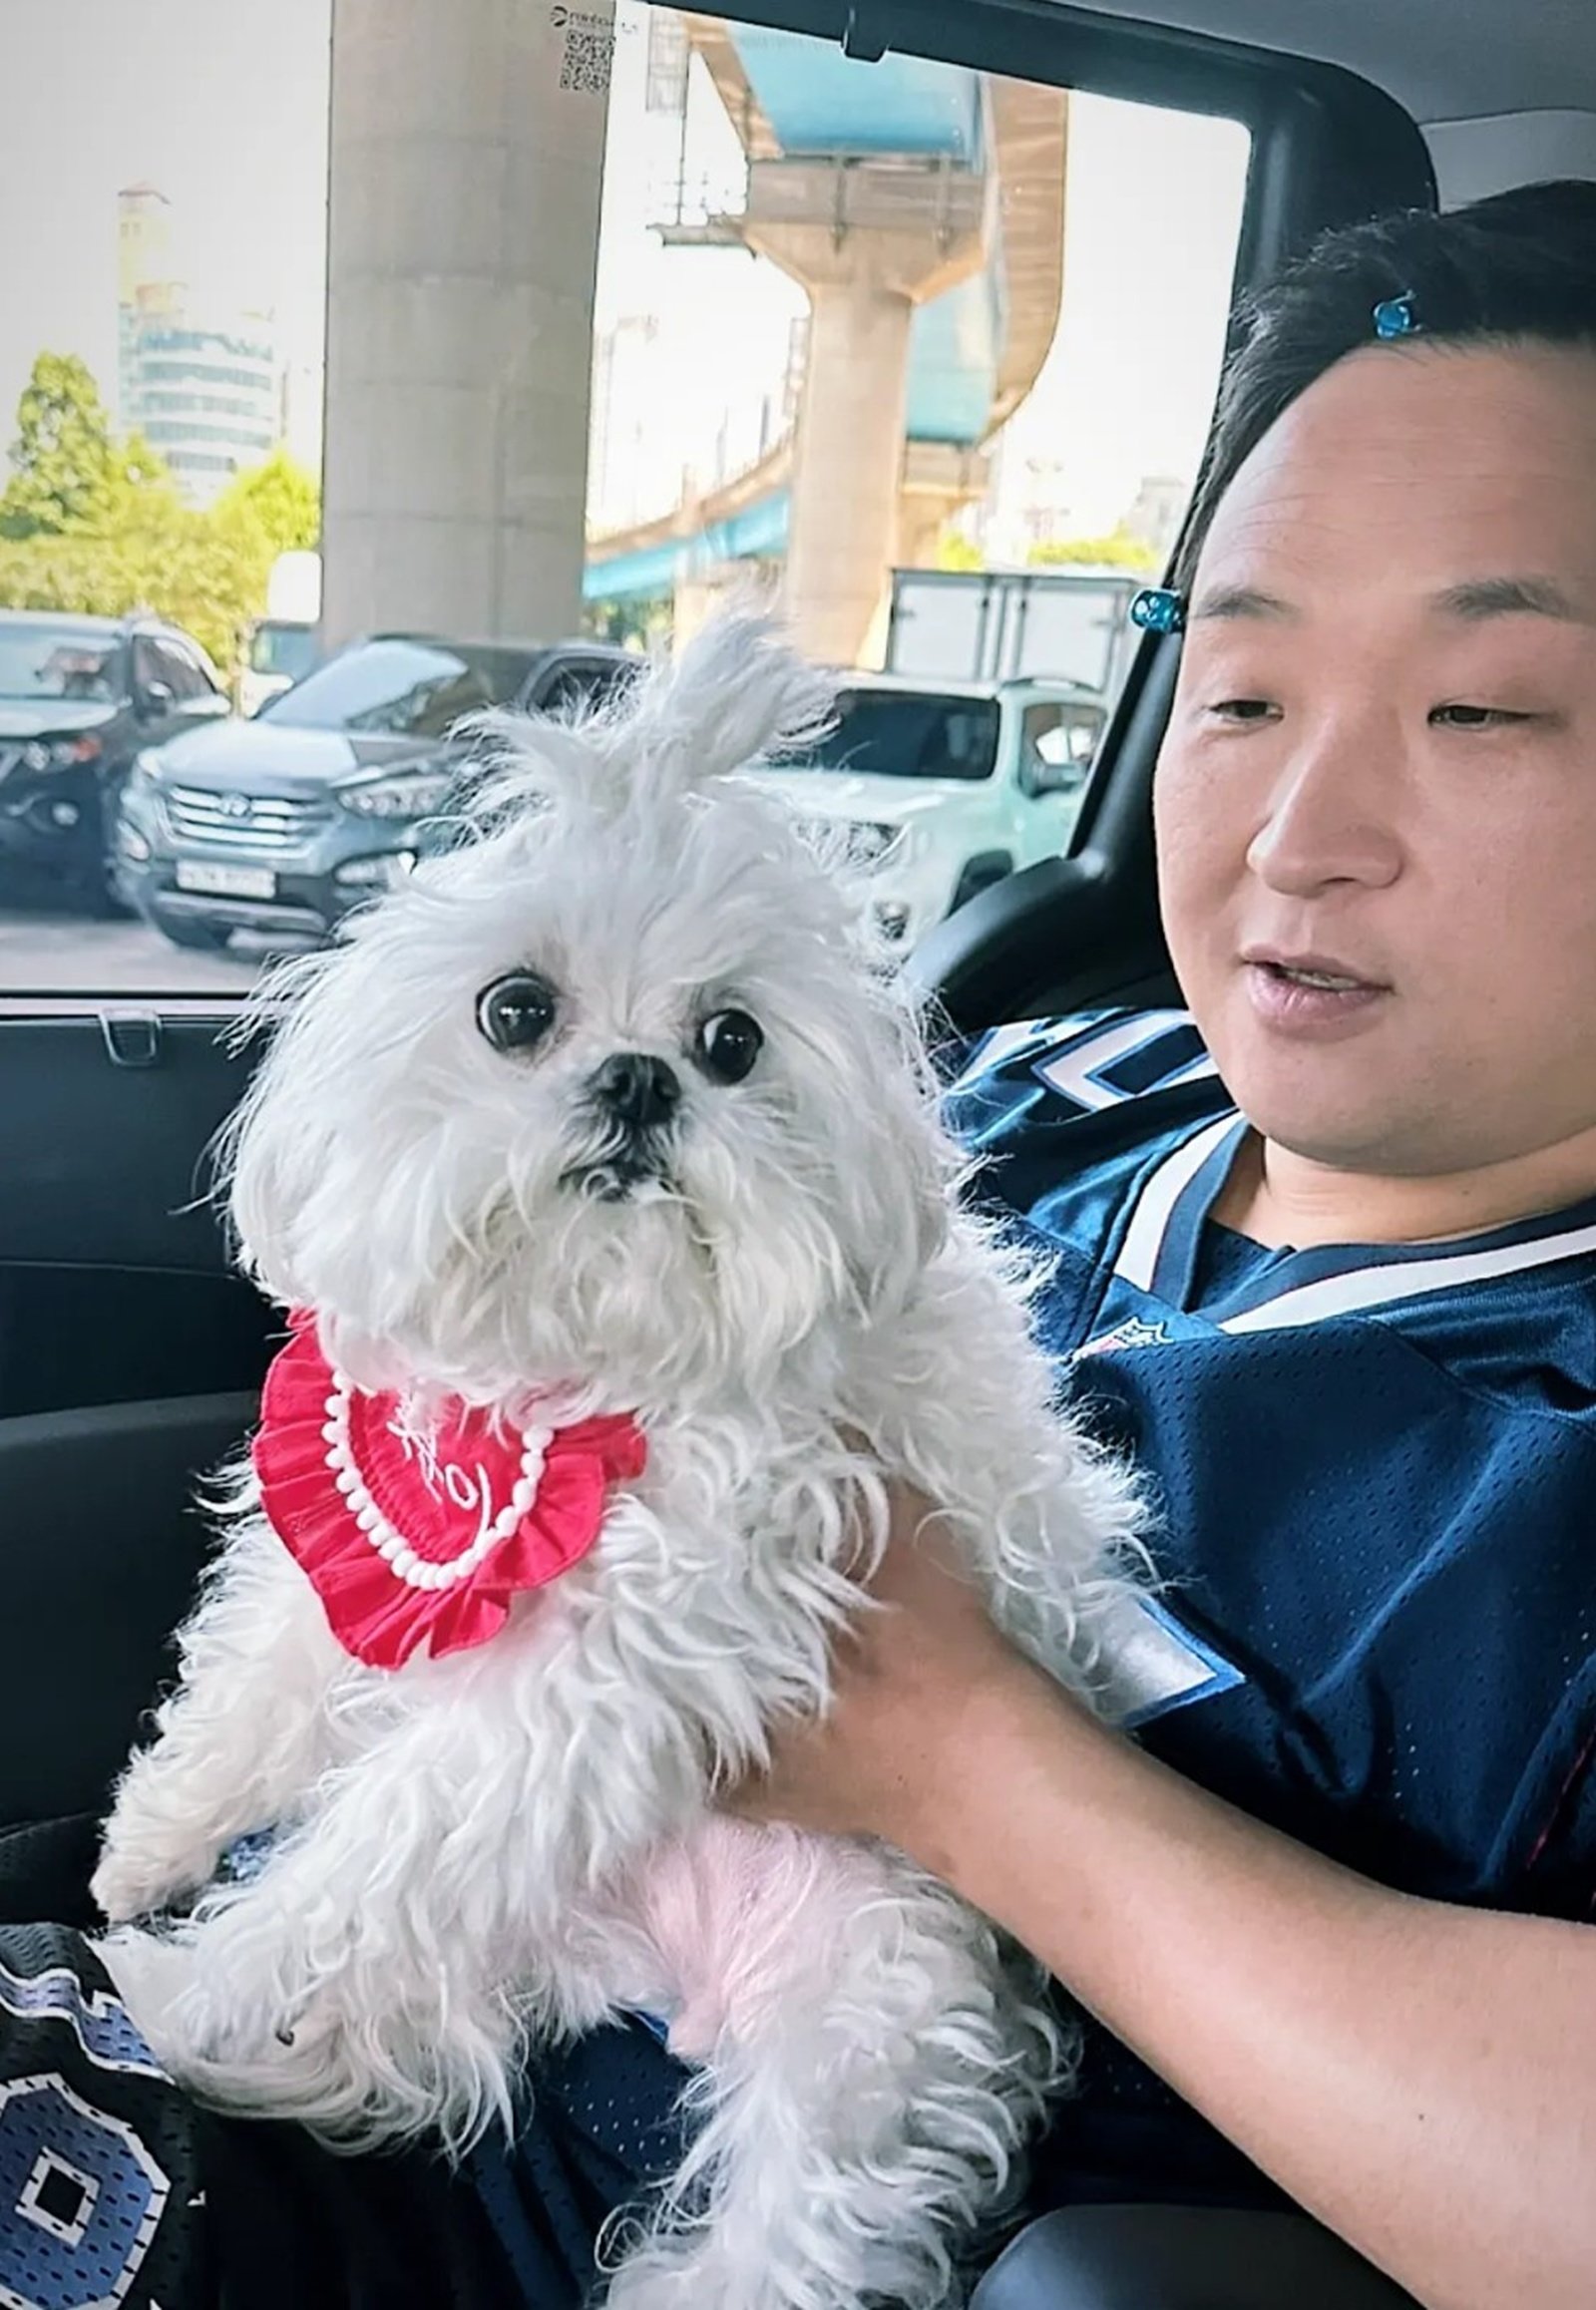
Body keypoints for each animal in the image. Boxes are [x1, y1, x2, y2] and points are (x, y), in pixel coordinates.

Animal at [92, 616, 1143, 2310]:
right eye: (516, 1010)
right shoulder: (377, 1528)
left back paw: (195, 2002)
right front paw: (155, 1845)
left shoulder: (628, 1649)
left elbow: (379, 1842)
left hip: (869, 2030)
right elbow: (264, 1674)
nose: (644, 1079)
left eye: (733, 1041)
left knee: (781, 2233)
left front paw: (228, 1957)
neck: (589, 1356)